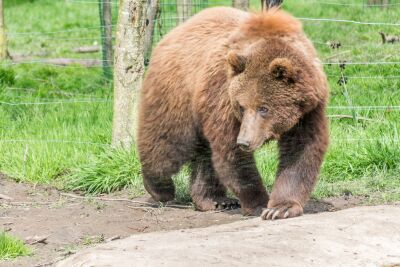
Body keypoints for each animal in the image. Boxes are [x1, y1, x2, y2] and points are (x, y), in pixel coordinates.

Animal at [138, 6, 328, 220]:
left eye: (264, 108)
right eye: (242, 106)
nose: (244, 141)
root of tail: (176, 31)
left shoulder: (309, 109)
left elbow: (301, 150)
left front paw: (281, 208)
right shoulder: (223, 95)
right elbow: (231, 152)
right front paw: (258, 203)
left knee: (205, 154)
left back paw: (215, 199)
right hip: (177, 93)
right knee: (167, 143)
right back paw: (160, 189)